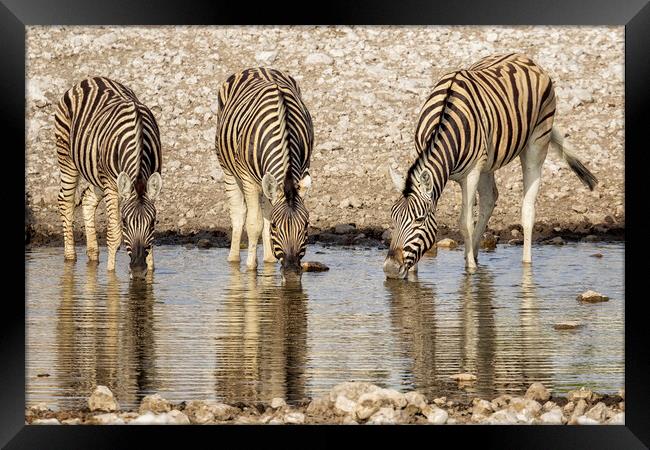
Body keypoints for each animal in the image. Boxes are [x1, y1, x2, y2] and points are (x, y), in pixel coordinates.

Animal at [54, 76, 163, 278]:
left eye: (152, 223)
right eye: (125, 222)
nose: (138, 270)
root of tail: (91, 78)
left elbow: (150, 243)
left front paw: (150, 273)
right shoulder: (111, 186)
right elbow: (114, 235)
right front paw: (111, 275)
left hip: (95, 173)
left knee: (87, 200)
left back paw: (93, 255)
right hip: (67, 158)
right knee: (65, 201)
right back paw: (70, 257)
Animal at [214, 67, 312, 278]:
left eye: (306, 225)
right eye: (276, 225)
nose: (291, 272)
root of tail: (258, 68)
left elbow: (266, 216)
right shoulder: (248, 179)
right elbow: (254, 223)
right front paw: (251, 267)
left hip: (267, 181)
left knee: (266, 208)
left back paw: (268, 259)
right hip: (228, 170)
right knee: (239, 213)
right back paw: (234, 259)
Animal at [380, 52, 596, 278]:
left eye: (420, 220)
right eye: (393, 217)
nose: (390, 269)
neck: (444, 124)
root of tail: (524, 56)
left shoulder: (472, 172)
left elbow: (465, 222)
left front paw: (470, 271)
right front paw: (414, 273)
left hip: (536, 142)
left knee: (527, 210)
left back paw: (524, 264)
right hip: (489, 161)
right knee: (490, 199)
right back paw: (474, 253)